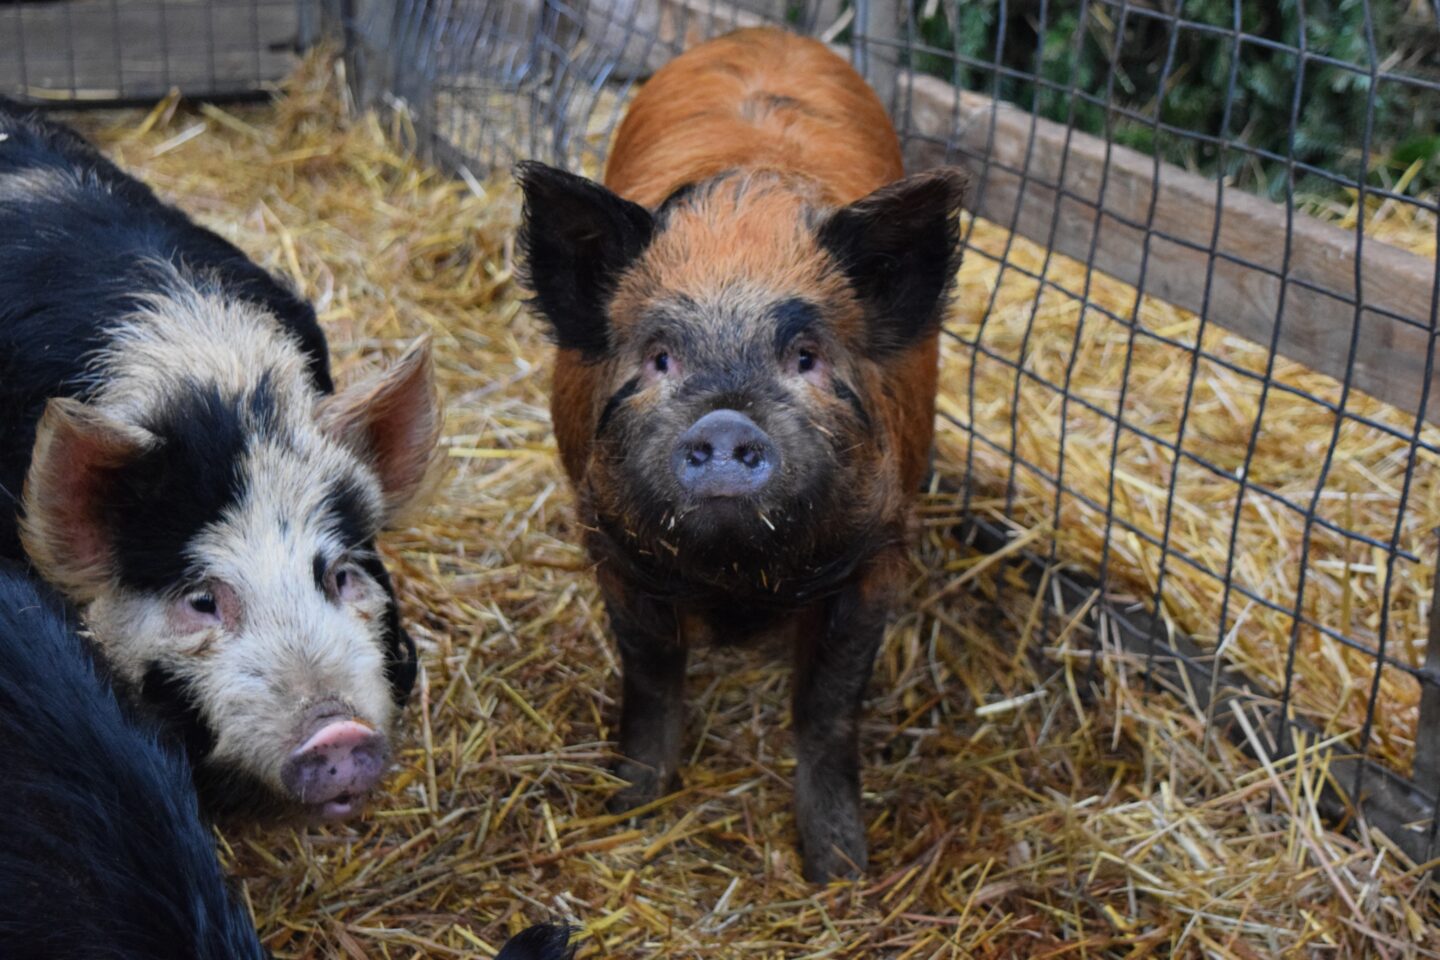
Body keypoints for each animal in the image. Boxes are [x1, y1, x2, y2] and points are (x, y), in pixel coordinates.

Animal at [516, 27, 965, 881]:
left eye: (806, 355)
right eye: (659, 356)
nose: (726, 423)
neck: (735, 576)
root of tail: (768, 35)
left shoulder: (878, 554)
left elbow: (828, 710)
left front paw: (841, 872)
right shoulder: (613, 549)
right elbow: (652, 677)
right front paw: (628, 808)